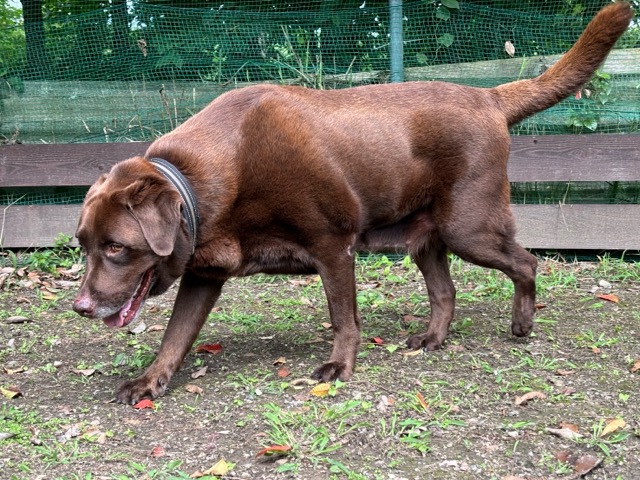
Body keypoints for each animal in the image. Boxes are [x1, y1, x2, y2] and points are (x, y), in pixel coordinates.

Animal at [73, 3, 632, 404]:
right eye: (83, 244)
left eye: (118, 248)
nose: (80, 307)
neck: (211, 176)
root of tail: (489, 96)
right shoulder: (204, 275)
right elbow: (174, 336)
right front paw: (149, 381)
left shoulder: (331, 246)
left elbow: (343, 316)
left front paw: (339, 367)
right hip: (426, 238)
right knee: (445, 291)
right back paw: (433, 339)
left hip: (467, 226)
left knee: (526, 261)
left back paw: (522, 324)